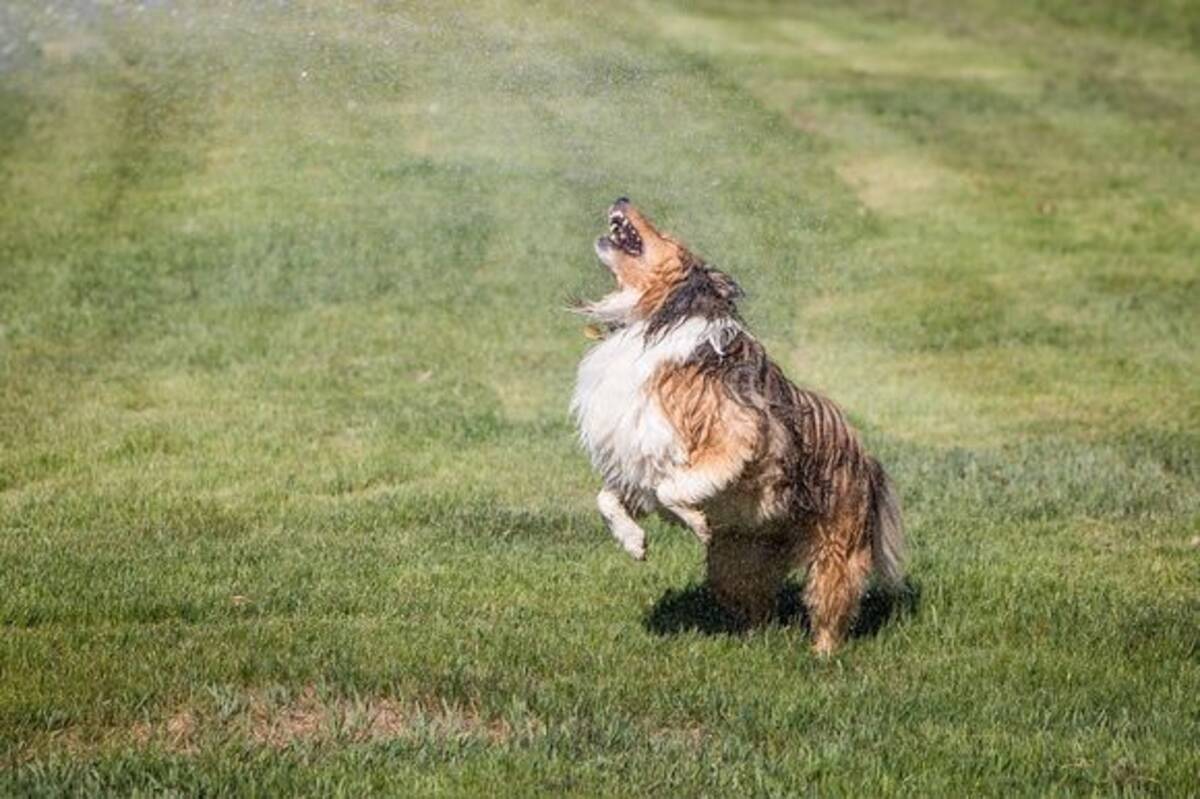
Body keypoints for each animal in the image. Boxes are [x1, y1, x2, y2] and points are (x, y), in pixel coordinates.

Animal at [568, 195, 902, 652]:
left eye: (666, 234)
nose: (622, 198)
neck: (653, 321)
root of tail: (866, 457)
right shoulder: (640, 456)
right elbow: (607, 498)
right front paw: (634, 542)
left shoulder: (736, 435)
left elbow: (672, 488)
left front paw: (694, 521)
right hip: (735, 561)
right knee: (757, 607)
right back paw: (750, 641)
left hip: (835, 553)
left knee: (831, 609)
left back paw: (821, 655)